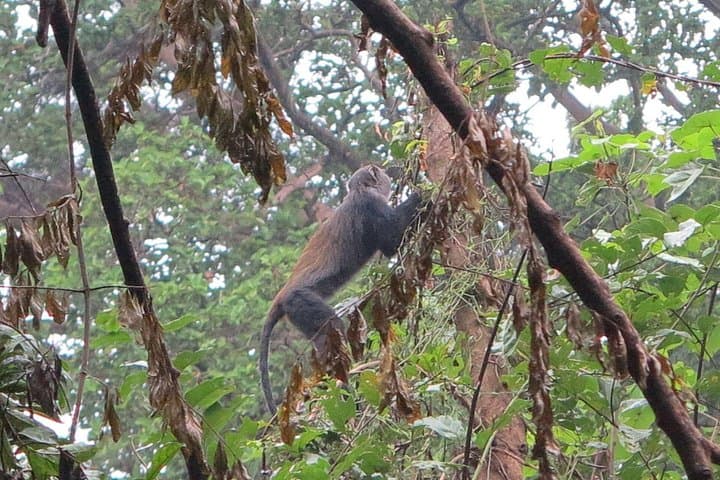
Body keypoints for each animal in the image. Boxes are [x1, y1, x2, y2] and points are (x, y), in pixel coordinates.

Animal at [259, 164, 425, 415]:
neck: (357, 190)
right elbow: (391, 241)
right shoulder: (370, 204)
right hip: (300, 302)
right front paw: (421, 195)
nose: (386, 172)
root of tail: (280, 298)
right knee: (331, 330)